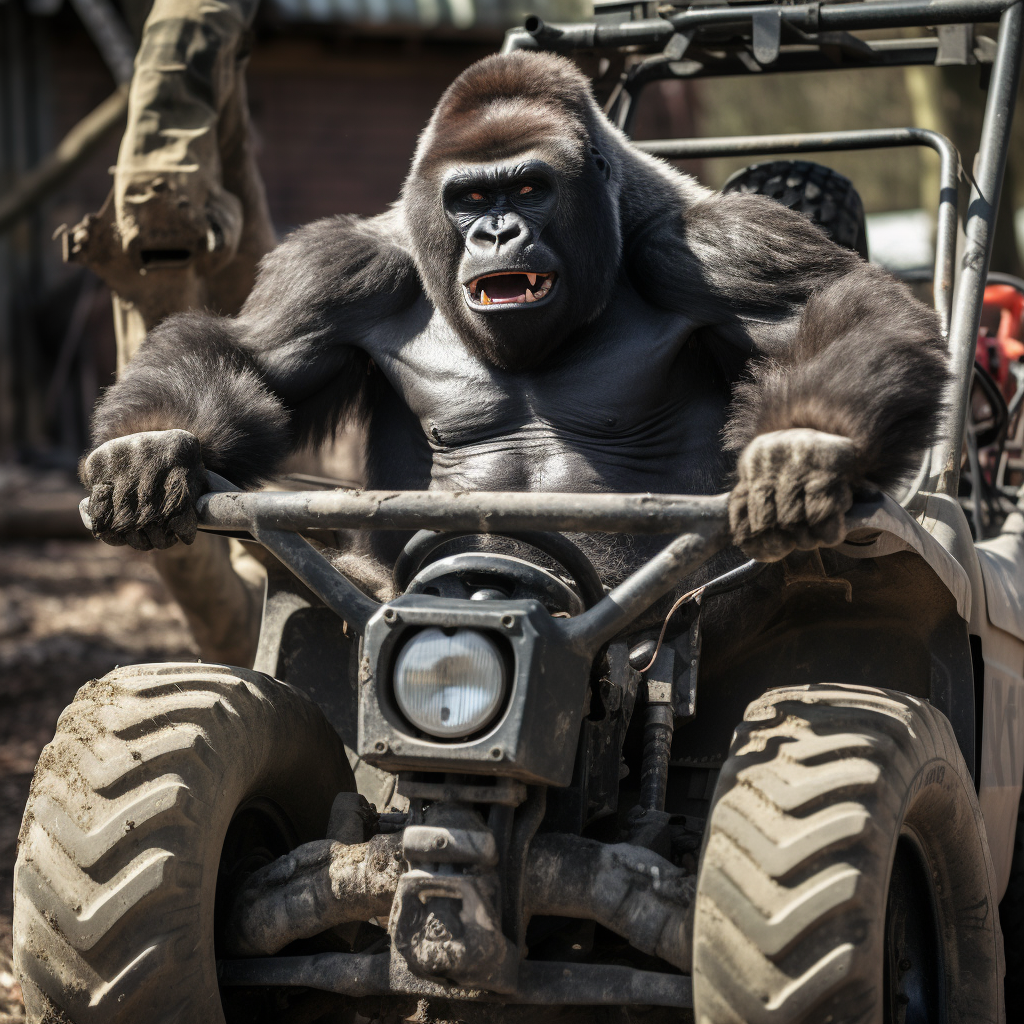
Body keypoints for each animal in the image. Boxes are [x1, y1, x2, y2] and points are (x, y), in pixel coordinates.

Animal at [79, 49, 942, 577]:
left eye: (529, 188)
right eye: (469, 198)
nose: (498, 233)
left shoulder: (718, 244)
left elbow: (837, 304)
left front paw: (808, 442)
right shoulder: (341, 271)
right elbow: (251, 354)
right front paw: (152, 445)